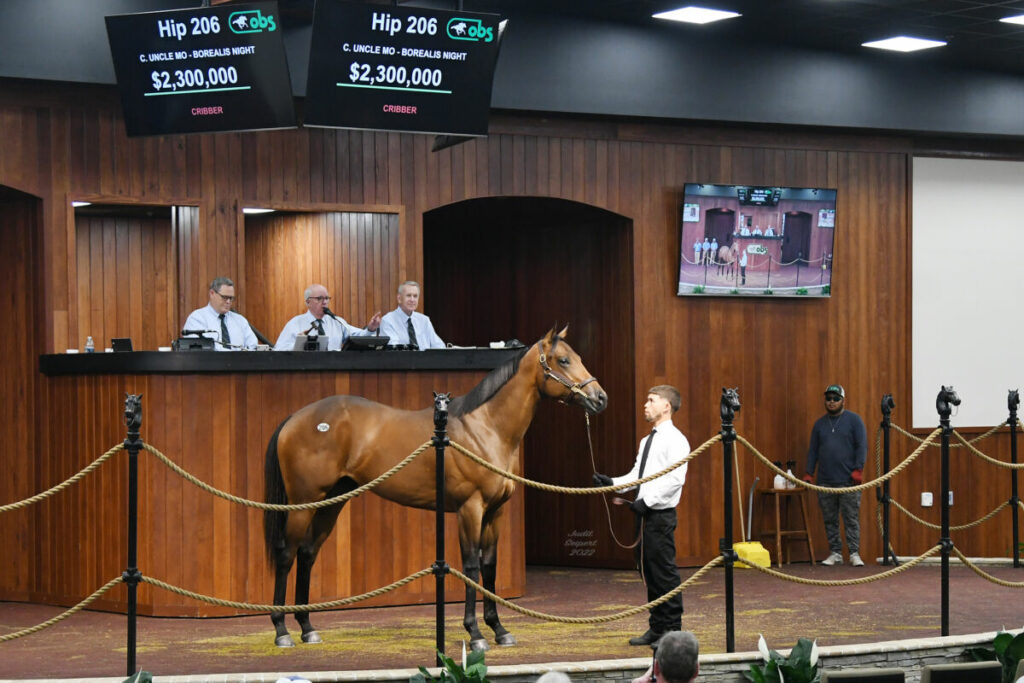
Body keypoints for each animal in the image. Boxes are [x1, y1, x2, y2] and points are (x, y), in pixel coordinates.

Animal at [264, 325, 606, 651]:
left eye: (577, 357)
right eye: (563, 360)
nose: (600, 398)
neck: (485, 428)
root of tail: (294, 418)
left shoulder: (494, 513)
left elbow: (489, 566)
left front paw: (499, 629)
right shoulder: (470, 509)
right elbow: (470, 566)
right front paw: (475, 633)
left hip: (331, 501)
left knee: (307, 553)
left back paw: (307, 628)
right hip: (303, 503)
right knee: (287, 554)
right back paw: (281, 630)